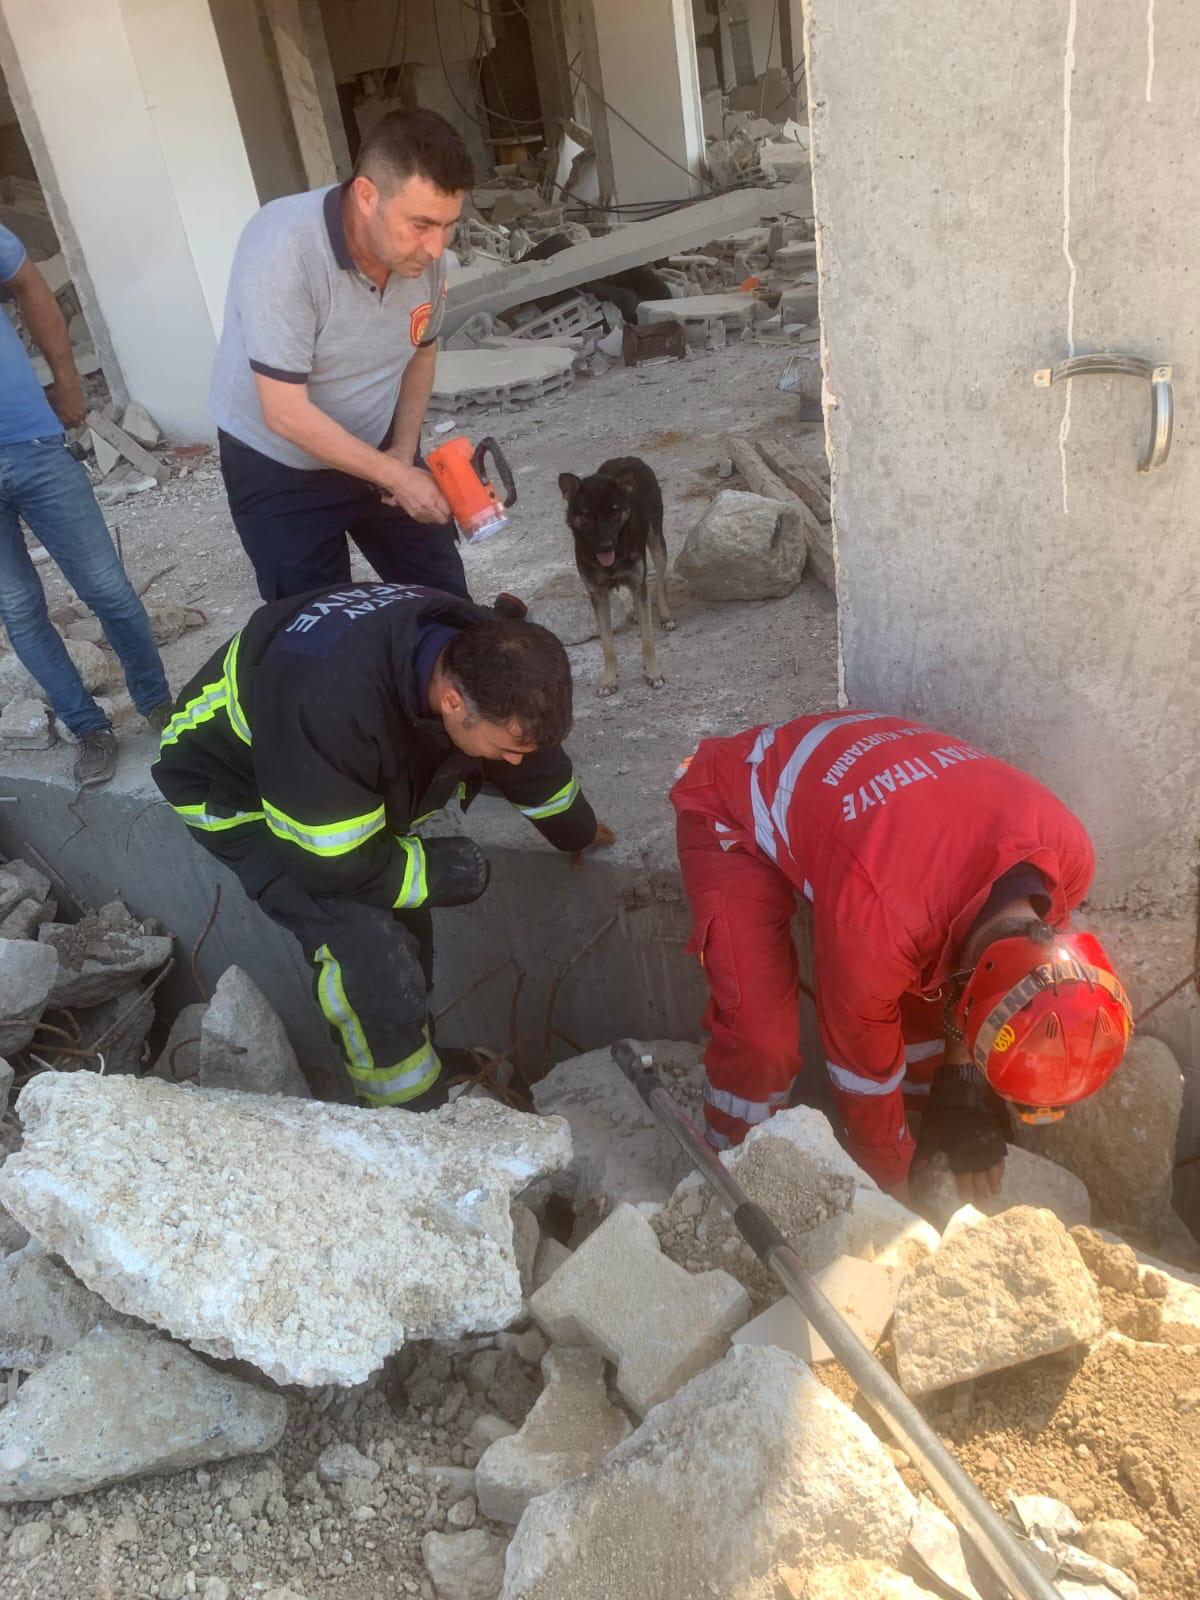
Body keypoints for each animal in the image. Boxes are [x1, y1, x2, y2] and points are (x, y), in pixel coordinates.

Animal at [556, 457, 672, 694]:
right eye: (587, 515)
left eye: (614, 511)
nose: (605, 546)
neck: (615, 555)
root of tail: (627, 458)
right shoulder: (598, 594)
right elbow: (607, 645)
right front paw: (609, 679)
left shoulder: (637, 582)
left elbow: (648, 640)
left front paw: (653, 672)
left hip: (656, 541)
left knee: (660, 578)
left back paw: (665, 615)